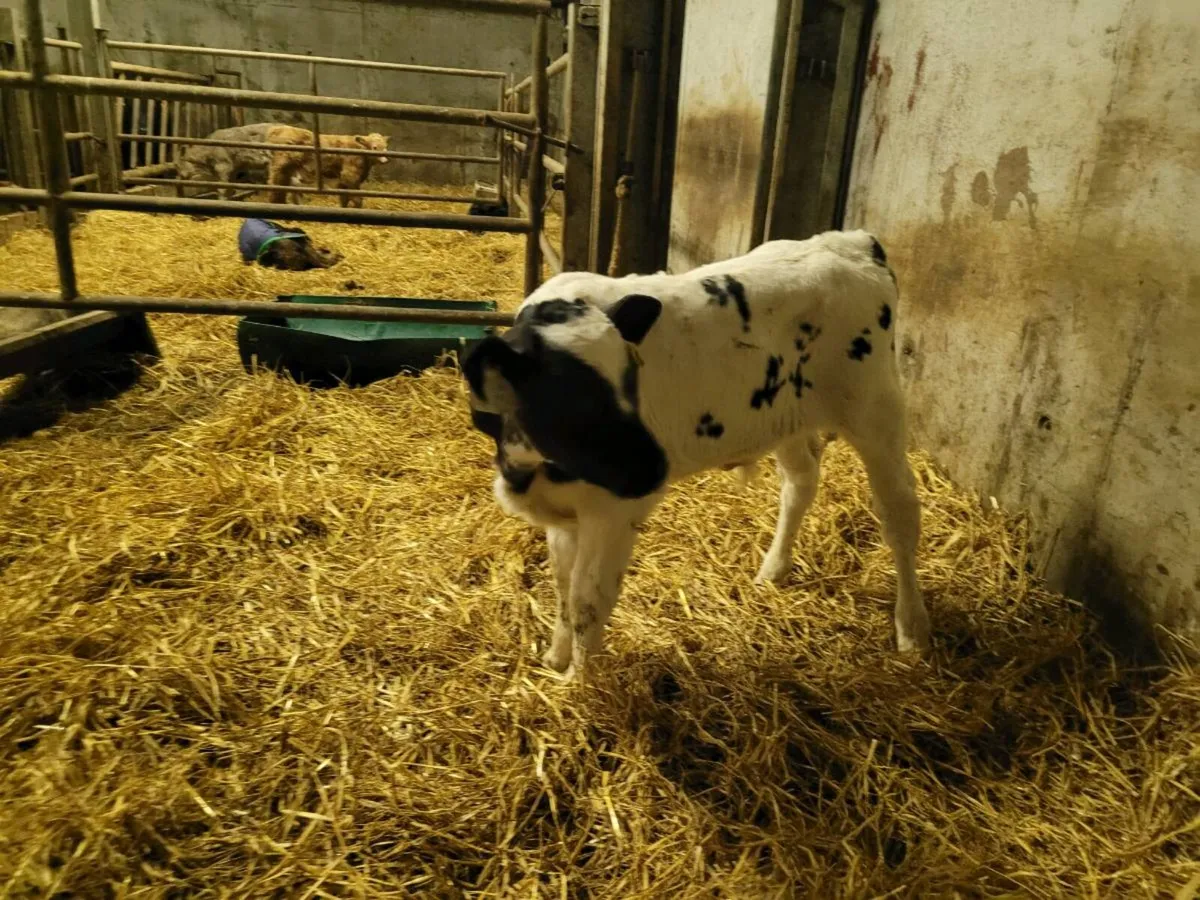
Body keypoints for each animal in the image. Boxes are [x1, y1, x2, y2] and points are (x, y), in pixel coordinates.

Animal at [462, 230, 931, 681]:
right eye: (571, 398)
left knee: (900, 511)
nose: (655, 468)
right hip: (786, 419)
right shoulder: (565, 512)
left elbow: (586, 600)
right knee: (801, 482)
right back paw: (772, 570)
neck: (527, 468)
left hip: (875, 408)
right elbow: (561, 587)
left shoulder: (612, 511)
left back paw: (911, 627)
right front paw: (556, 660)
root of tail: (853, 242)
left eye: (632, 378)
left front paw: (577, 685)